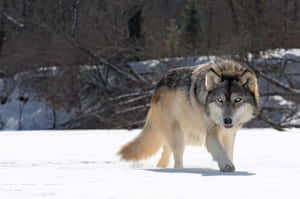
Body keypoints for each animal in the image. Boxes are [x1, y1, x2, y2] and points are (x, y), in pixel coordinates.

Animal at [118, 59, 258, 172]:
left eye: (237, 100)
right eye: (220, 100)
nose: (227, 120)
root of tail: (156, 89)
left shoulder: (229, 134)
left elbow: (228, 152)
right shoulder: (211, 134)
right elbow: (220, 152)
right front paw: (227, 166)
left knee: (165, 155)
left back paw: (162, 168)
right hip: (178, 137)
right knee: (177, 159)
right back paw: (180, 172)